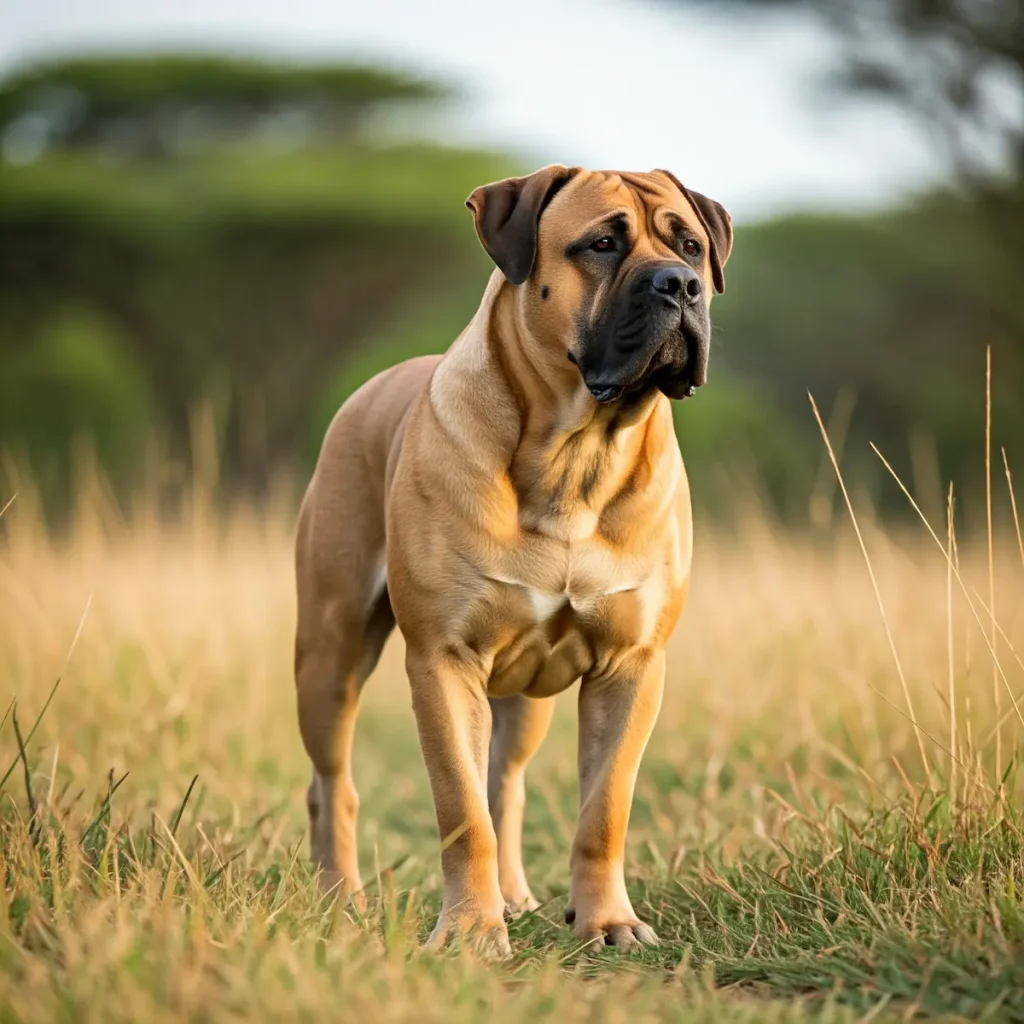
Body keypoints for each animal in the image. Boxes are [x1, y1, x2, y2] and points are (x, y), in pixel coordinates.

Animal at [292, 163, 733, 954]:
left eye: (689, 244)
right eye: (601, 244)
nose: (680, 284)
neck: (577, 453)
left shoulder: (631, 667)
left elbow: (603, 809)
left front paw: (606, 921)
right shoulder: (444, 660)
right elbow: (461, 809)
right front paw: (469, 931)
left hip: (523, 700)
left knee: (506, 781)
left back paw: (516, 896)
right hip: (328, 655)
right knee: (332, 782)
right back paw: (341, 898)